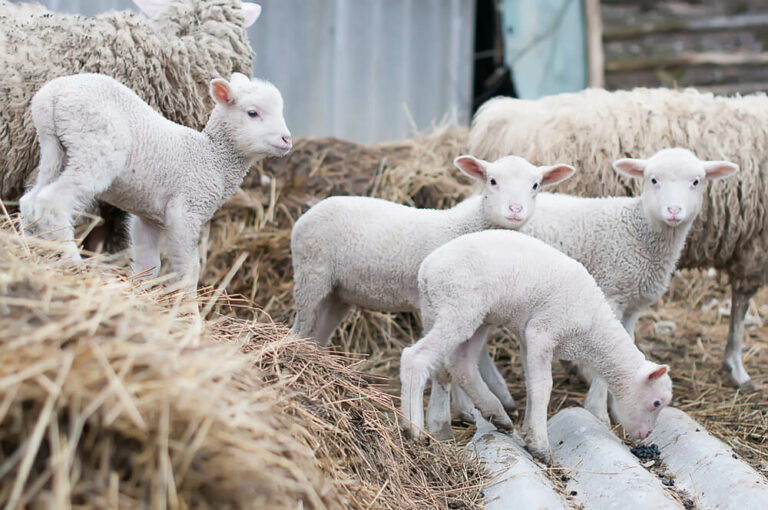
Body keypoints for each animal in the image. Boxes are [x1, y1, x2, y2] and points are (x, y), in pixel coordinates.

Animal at [19, 72, 290, 291]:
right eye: (253, 113)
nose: (287, 139)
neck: (212, 158)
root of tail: (53, 94)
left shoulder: (148, 218)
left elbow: (148, 265)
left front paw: (139, 293)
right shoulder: (186, 211)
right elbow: (189, 270)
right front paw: (189, 314)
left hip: (55, 150)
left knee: (30, 202)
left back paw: (31, 249)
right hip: (96, 148)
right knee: (52, 202)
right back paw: (73, 264)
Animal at [290, 155, 574, 413]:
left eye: (535, 185)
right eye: (492, 181)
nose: (515, 210)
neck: (465, 227)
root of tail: (310, 211)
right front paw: (465, 409)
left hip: (339, 292)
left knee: (319, 333)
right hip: (311, 274)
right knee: (302, 326)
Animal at [400, 229, 673, 464]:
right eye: (656, 403)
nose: (645, 435)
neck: (592, 330)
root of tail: (426, 269)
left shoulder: (527, 337)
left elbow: (532, 385)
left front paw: (530, 434)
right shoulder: (543, 331)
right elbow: (543, 387)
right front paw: (541, 447)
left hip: (457, 313)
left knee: (459, 365)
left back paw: (495, 414)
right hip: (459, 308)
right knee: (416, 358)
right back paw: (413, 430)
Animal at [468, 87, 767, 389]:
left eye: (697, 181)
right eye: (653, 180)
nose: (673, 210)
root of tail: (502, 116)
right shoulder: (754, 247)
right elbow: (740, 307)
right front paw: (737, 368)